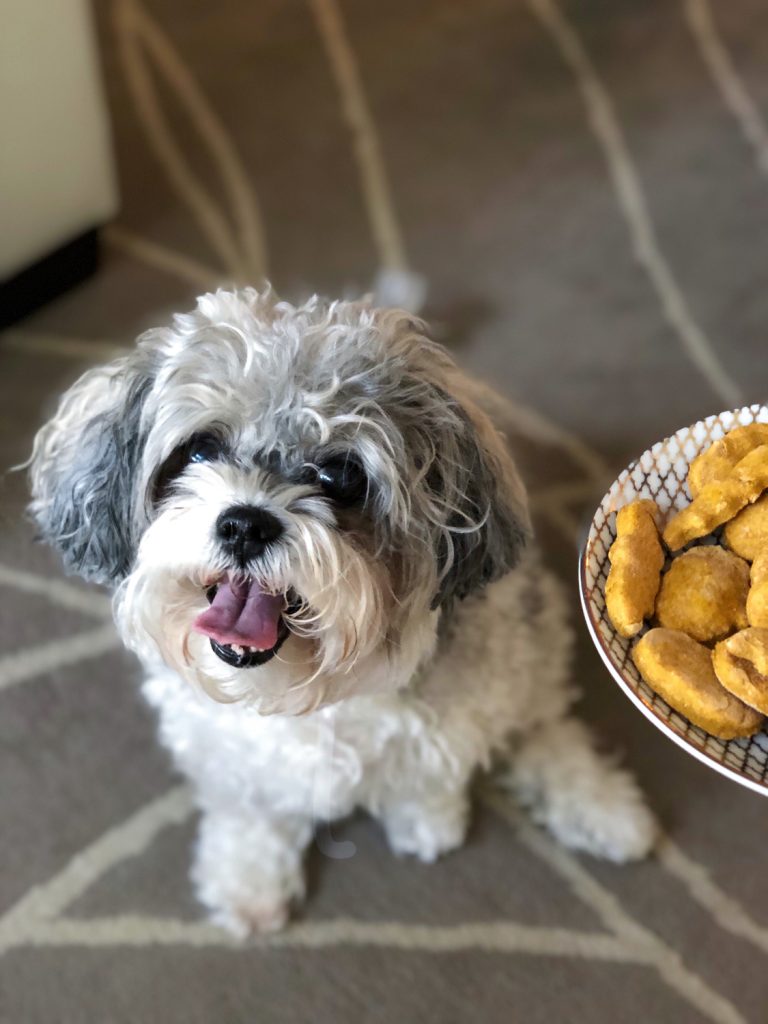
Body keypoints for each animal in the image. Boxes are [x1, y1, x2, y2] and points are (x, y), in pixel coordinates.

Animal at [28, 288, 655, 937]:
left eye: (341, 475)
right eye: (200, 449)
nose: (245, 523)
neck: (301, 692)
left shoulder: (460, 705)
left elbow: (432, 768)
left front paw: (426, 820)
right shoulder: (225, 755)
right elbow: (251, 809)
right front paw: (246, 880)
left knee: (541, 722)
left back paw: (602, 807)